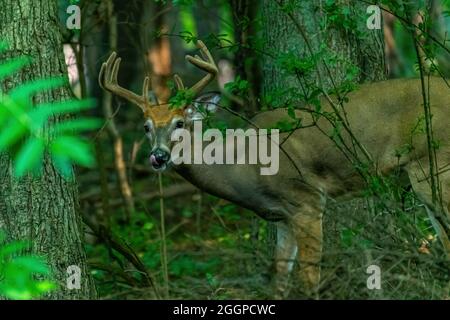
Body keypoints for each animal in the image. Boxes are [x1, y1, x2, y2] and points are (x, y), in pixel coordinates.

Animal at [100, 40, 450, 300]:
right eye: (146, 127)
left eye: (180, 123)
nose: (157, 157)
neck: (245, 166)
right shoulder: (280, 214)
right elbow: (279, 278)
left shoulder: (307, 200)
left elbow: (309, 277)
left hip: (433, 164)